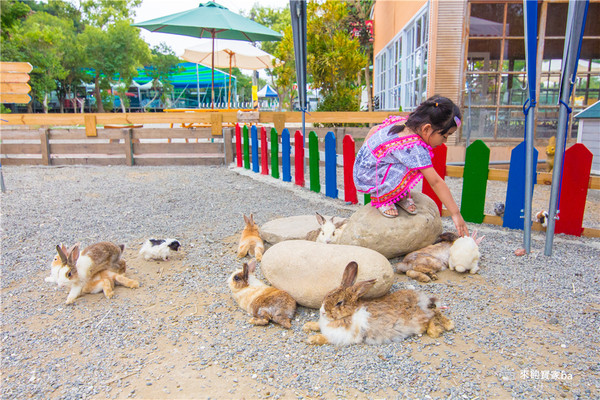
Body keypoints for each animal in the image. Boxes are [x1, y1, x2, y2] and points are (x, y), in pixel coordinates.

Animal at [302, 260, 452, 346]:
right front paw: (307, 326)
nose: (322, 312)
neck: (349, 314)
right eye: (327, 295)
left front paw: (312, 339)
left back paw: (440, 328)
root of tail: (423, 302)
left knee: (434, 316)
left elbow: (325, 338)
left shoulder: (344, 336)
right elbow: (317, 325)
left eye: (339, 303)